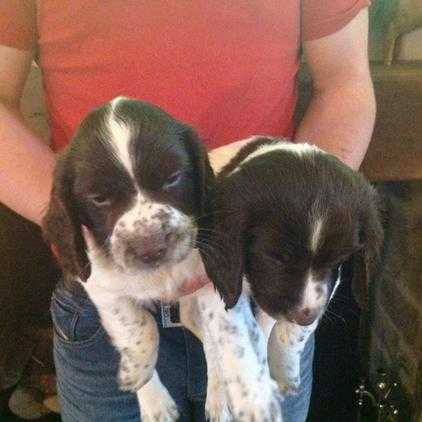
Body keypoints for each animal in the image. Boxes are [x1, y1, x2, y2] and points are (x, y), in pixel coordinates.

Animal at [42, 99, 284, 422]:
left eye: (173, 178)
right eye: (99, 198)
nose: (150, 248)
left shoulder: (214, 280)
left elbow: (234, 339)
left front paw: (254, 399)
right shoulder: (100, 285)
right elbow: (138, 327)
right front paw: (144, 384)